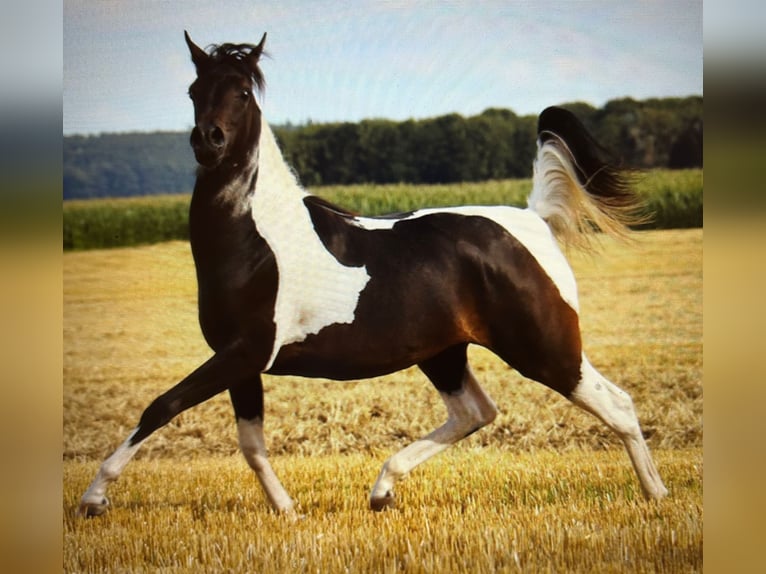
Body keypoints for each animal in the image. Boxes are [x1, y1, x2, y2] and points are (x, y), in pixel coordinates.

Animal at [75, 29, 668, 520]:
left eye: (242, 92)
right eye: (194, 90)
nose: (209, 140)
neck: (257, 242)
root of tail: (532, 218)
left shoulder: (244, 353)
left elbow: (161, 405)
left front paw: (93, 499)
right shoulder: (241, 362)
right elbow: (250, 444)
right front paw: (288, 512)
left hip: (543, 347)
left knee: (616, 404)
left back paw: (657, 496)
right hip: (444, 352)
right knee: (475, 411)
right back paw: (382, 490)